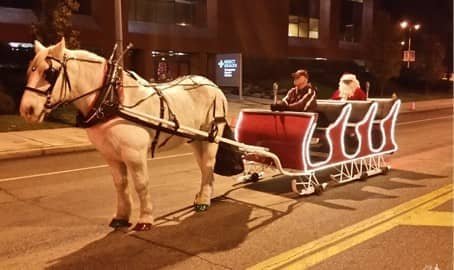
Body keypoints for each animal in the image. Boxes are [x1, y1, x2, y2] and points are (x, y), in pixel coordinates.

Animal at [20, 38, 229, 231]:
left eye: (49, 73)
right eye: (30, 70)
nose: (27, 110)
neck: (111, 99)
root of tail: (213, 85)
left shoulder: (134, 154)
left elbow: (141, 184)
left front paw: (145, 219)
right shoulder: (110, 155)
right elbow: (120, 185)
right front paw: (121, 216)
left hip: (211, 137)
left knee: (208, 165)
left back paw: (204, 201)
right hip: (196, 139)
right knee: (204, 168)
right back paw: (202, 196)